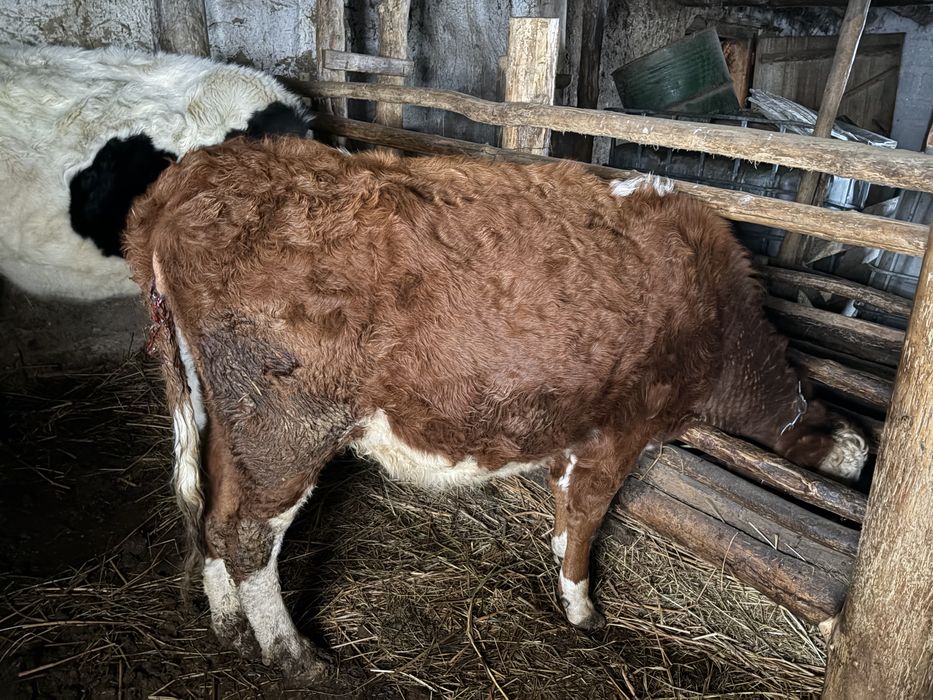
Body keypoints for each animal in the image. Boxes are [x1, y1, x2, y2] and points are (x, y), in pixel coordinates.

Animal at [123, 135, 868, 679]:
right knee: (249, 535)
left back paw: (227, 627)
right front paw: (581, 610)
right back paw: (295, 657)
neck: (718, 318)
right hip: (287, 430)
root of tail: (191, 174)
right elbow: (587, 522)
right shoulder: (618, 434)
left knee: (216, 517)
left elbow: (565, 518)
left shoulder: (575, 434)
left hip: (227, 421)